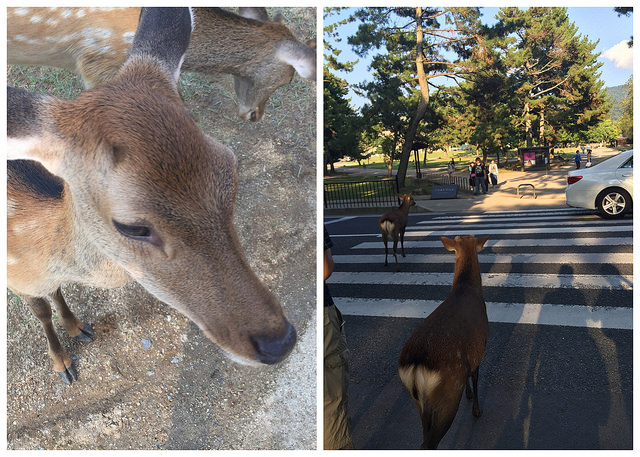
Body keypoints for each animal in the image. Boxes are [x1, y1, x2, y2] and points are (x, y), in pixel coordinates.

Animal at [398, 235, 490, 449]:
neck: (466, 288)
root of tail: (415, 367)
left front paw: (469, 393)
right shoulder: (480, 349)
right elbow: (475, 377)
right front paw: (477, 410)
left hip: (418, 402)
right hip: (447, 395)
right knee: (429, 443)